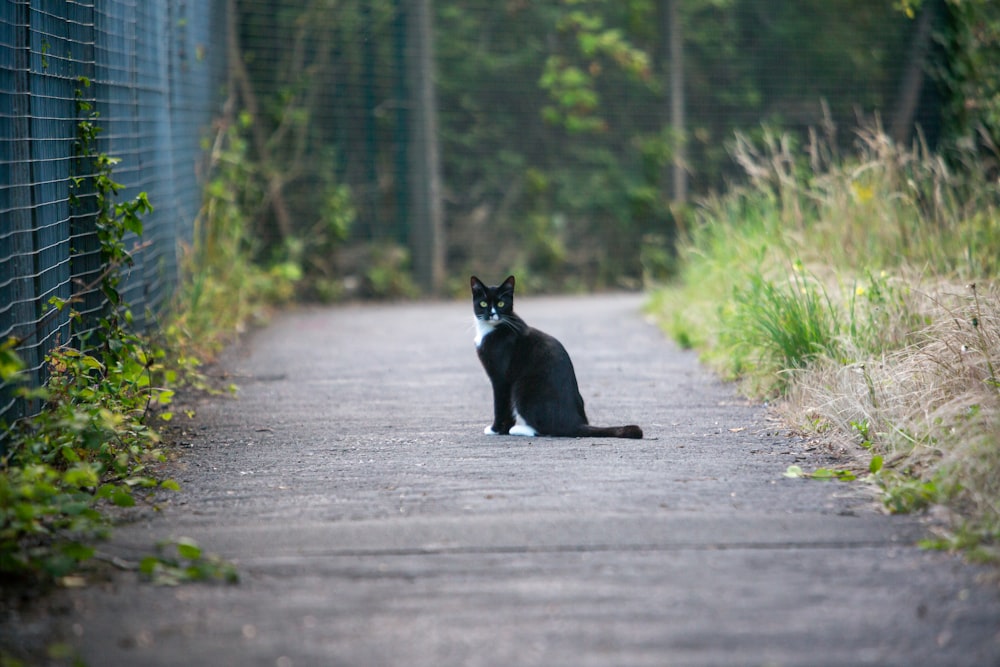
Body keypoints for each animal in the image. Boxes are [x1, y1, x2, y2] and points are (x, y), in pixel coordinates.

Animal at [468, 274, 640, 440]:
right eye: (483, 303)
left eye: (501, 304)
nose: (492, 314)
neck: (491, 329)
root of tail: (575, 422)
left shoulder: (501, 378)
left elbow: (501, 405)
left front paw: (496, 430)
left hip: (521, 387)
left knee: (548, 429)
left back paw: (519, 429)